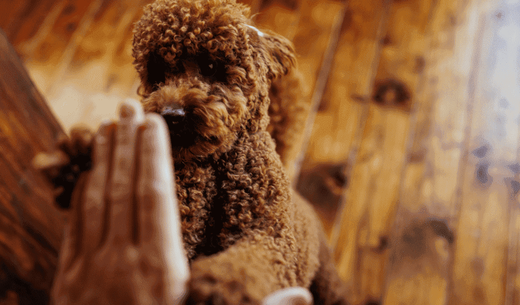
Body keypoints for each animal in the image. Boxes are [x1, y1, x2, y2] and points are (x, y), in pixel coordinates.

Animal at [129, 0, 348, 302]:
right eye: (158, 73)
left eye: (210, 65)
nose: (171, 115)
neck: (217, 165)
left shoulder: (271, 235)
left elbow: (248, 264)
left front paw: (220, 285)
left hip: (327, 279)